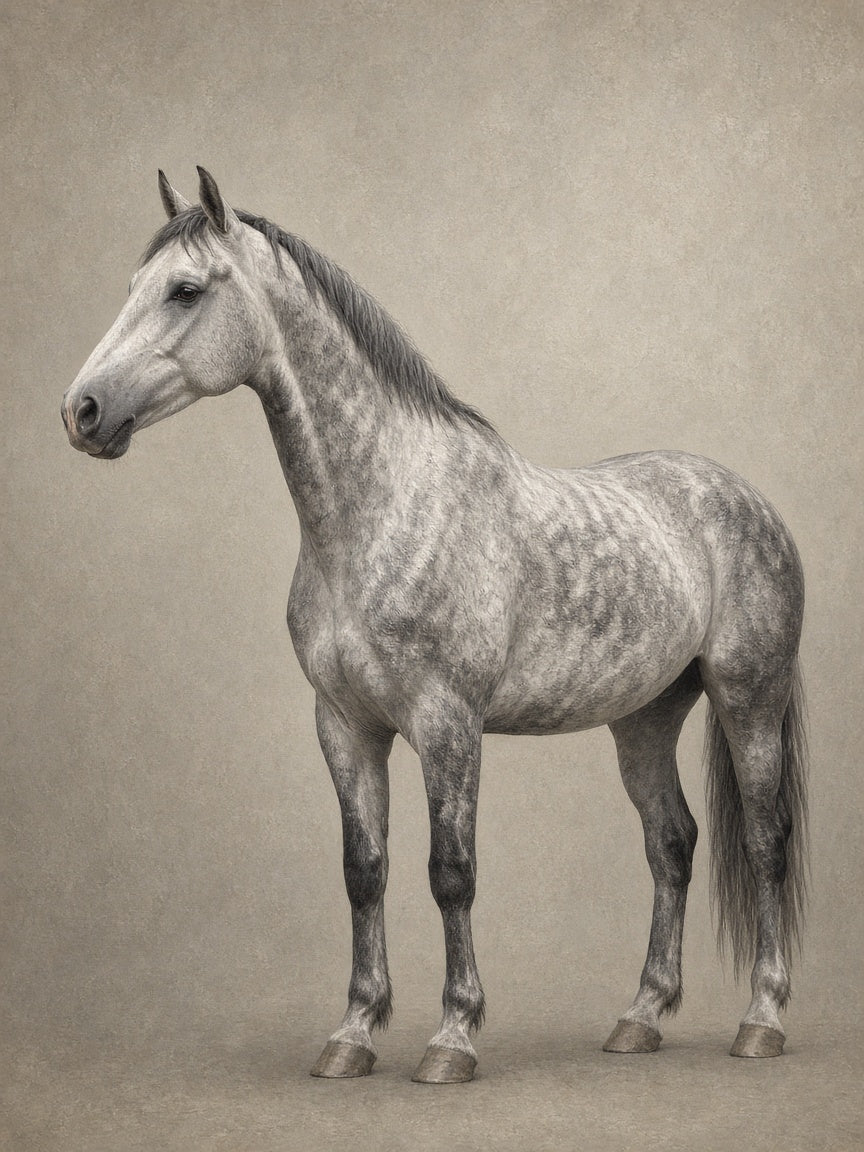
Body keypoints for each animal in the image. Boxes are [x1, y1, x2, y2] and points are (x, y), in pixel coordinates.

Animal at [61, 168, 808, 1083]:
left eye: (186, 291)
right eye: (134, 284)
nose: (82, 411)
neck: (379, 509)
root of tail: (748, 500)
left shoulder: (448, 722)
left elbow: (450, 871)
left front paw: (453, 1036)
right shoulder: (345, 726)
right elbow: (365, 871)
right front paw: (353, 1032)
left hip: (748, 700)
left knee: (766, 843)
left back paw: (761, 1019)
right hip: (644, 719)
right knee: (671, 843)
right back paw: (638, 1017)